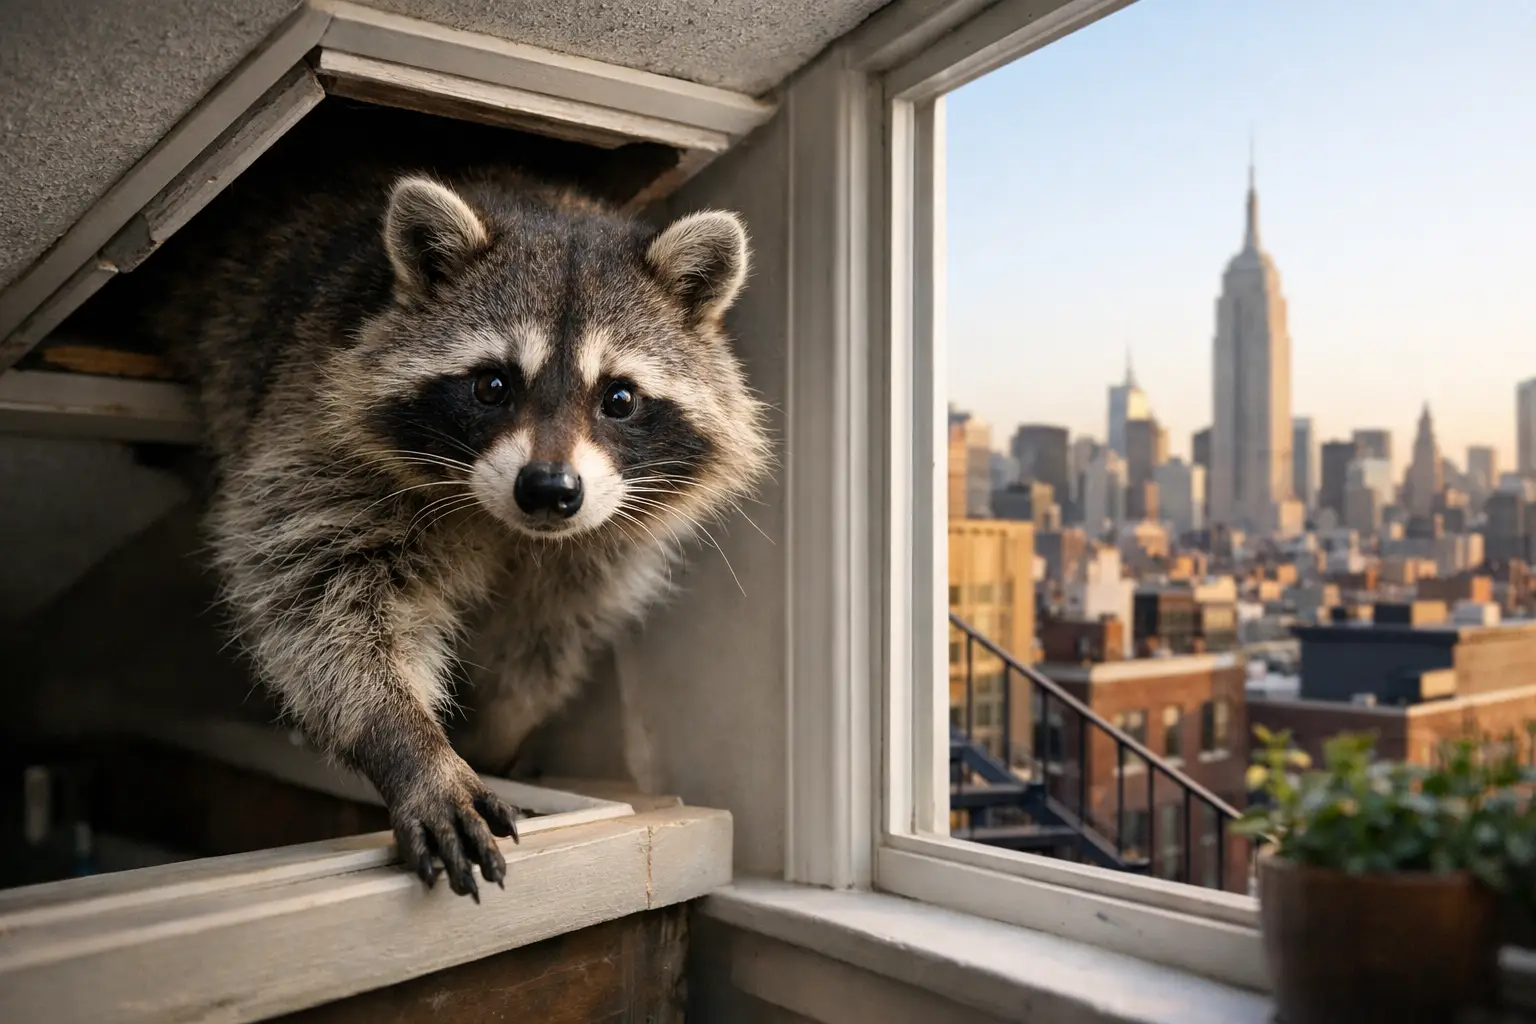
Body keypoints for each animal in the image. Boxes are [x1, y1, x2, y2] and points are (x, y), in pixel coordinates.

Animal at [130, 161, 771, 900]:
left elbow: (543, 639)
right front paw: (410, 741)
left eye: (620, 399)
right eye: (492, 385)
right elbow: (318, 595)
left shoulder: (598, 544)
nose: (549, 491)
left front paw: (499, 731)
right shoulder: (315, 427)